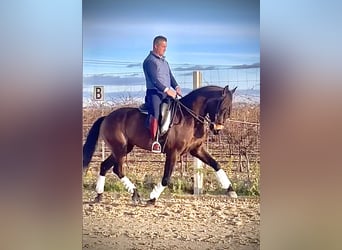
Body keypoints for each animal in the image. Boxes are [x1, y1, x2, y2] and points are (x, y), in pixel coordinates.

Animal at [83, 85, 238, 204]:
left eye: (230, 109)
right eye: (223, 107)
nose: (217, 129)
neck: (189, 117)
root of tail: (106, 117)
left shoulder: (196, 150)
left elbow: (216, 165)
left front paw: (231, 190)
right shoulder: (173, 152)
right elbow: (166, 178)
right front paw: (152, 198)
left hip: (123, 149)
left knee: (104, 166)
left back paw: (99, 195)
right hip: (120, 149)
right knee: (118, 170)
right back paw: (135, 194)